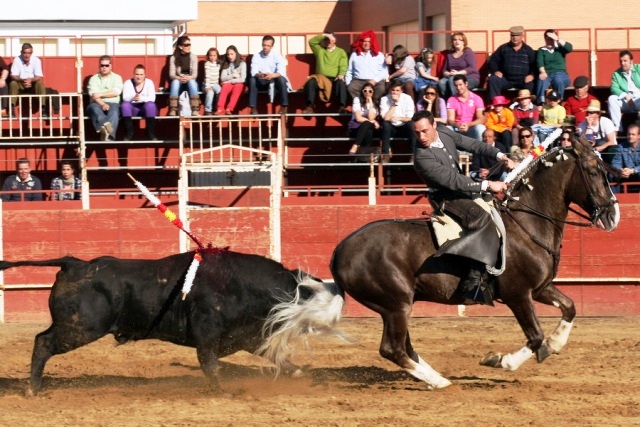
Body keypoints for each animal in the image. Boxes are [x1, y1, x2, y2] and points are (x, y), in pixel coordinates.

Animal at [0, 249, 344, 396]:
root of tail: (75, 264)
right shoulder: (208, 334)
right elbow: (210, 365)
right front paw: (224, 392)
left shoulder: (245, 336)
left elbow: (275, 356)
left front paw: (299, 373)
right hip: (80, 327)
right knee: (43, 343)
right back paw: (32, 389)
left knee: (43, 340)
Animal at [330, 138, 620, 392]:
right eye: (593, 172)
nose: (612, 215)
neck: (526, 224)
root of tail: (340, 251)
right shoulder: (518, 294)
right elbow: (535, 336)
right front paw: (500, 360)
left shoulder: (540, 288)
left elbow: (570, 307)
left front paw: (555, 344)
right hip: (397, 305)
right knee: (394, 349)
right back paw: (439, 382)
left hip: (394, 307)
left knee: (404, 347)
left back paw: (435, 377)